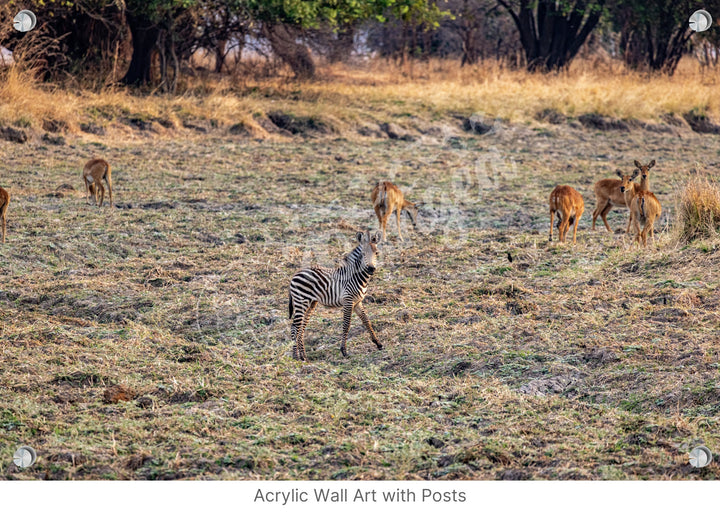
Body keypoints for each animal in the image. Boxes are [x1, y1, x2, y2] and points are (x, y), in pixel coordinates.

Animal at [290, 232, 386, 360]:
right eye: (363, 254)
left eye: (376, 253)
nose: (371, 269)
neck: (356, 277)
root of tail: (296, 273)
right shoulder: (348, 301)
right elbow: (346, 324)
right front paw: (344, 350)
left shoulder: (357, 302)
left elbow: (366, 321)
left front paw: (378, 343)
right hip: (301, 302)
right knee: (294, 326)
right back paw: (295, 356)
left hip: (311, 303)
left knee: (302, 326)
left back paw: (303, 356)